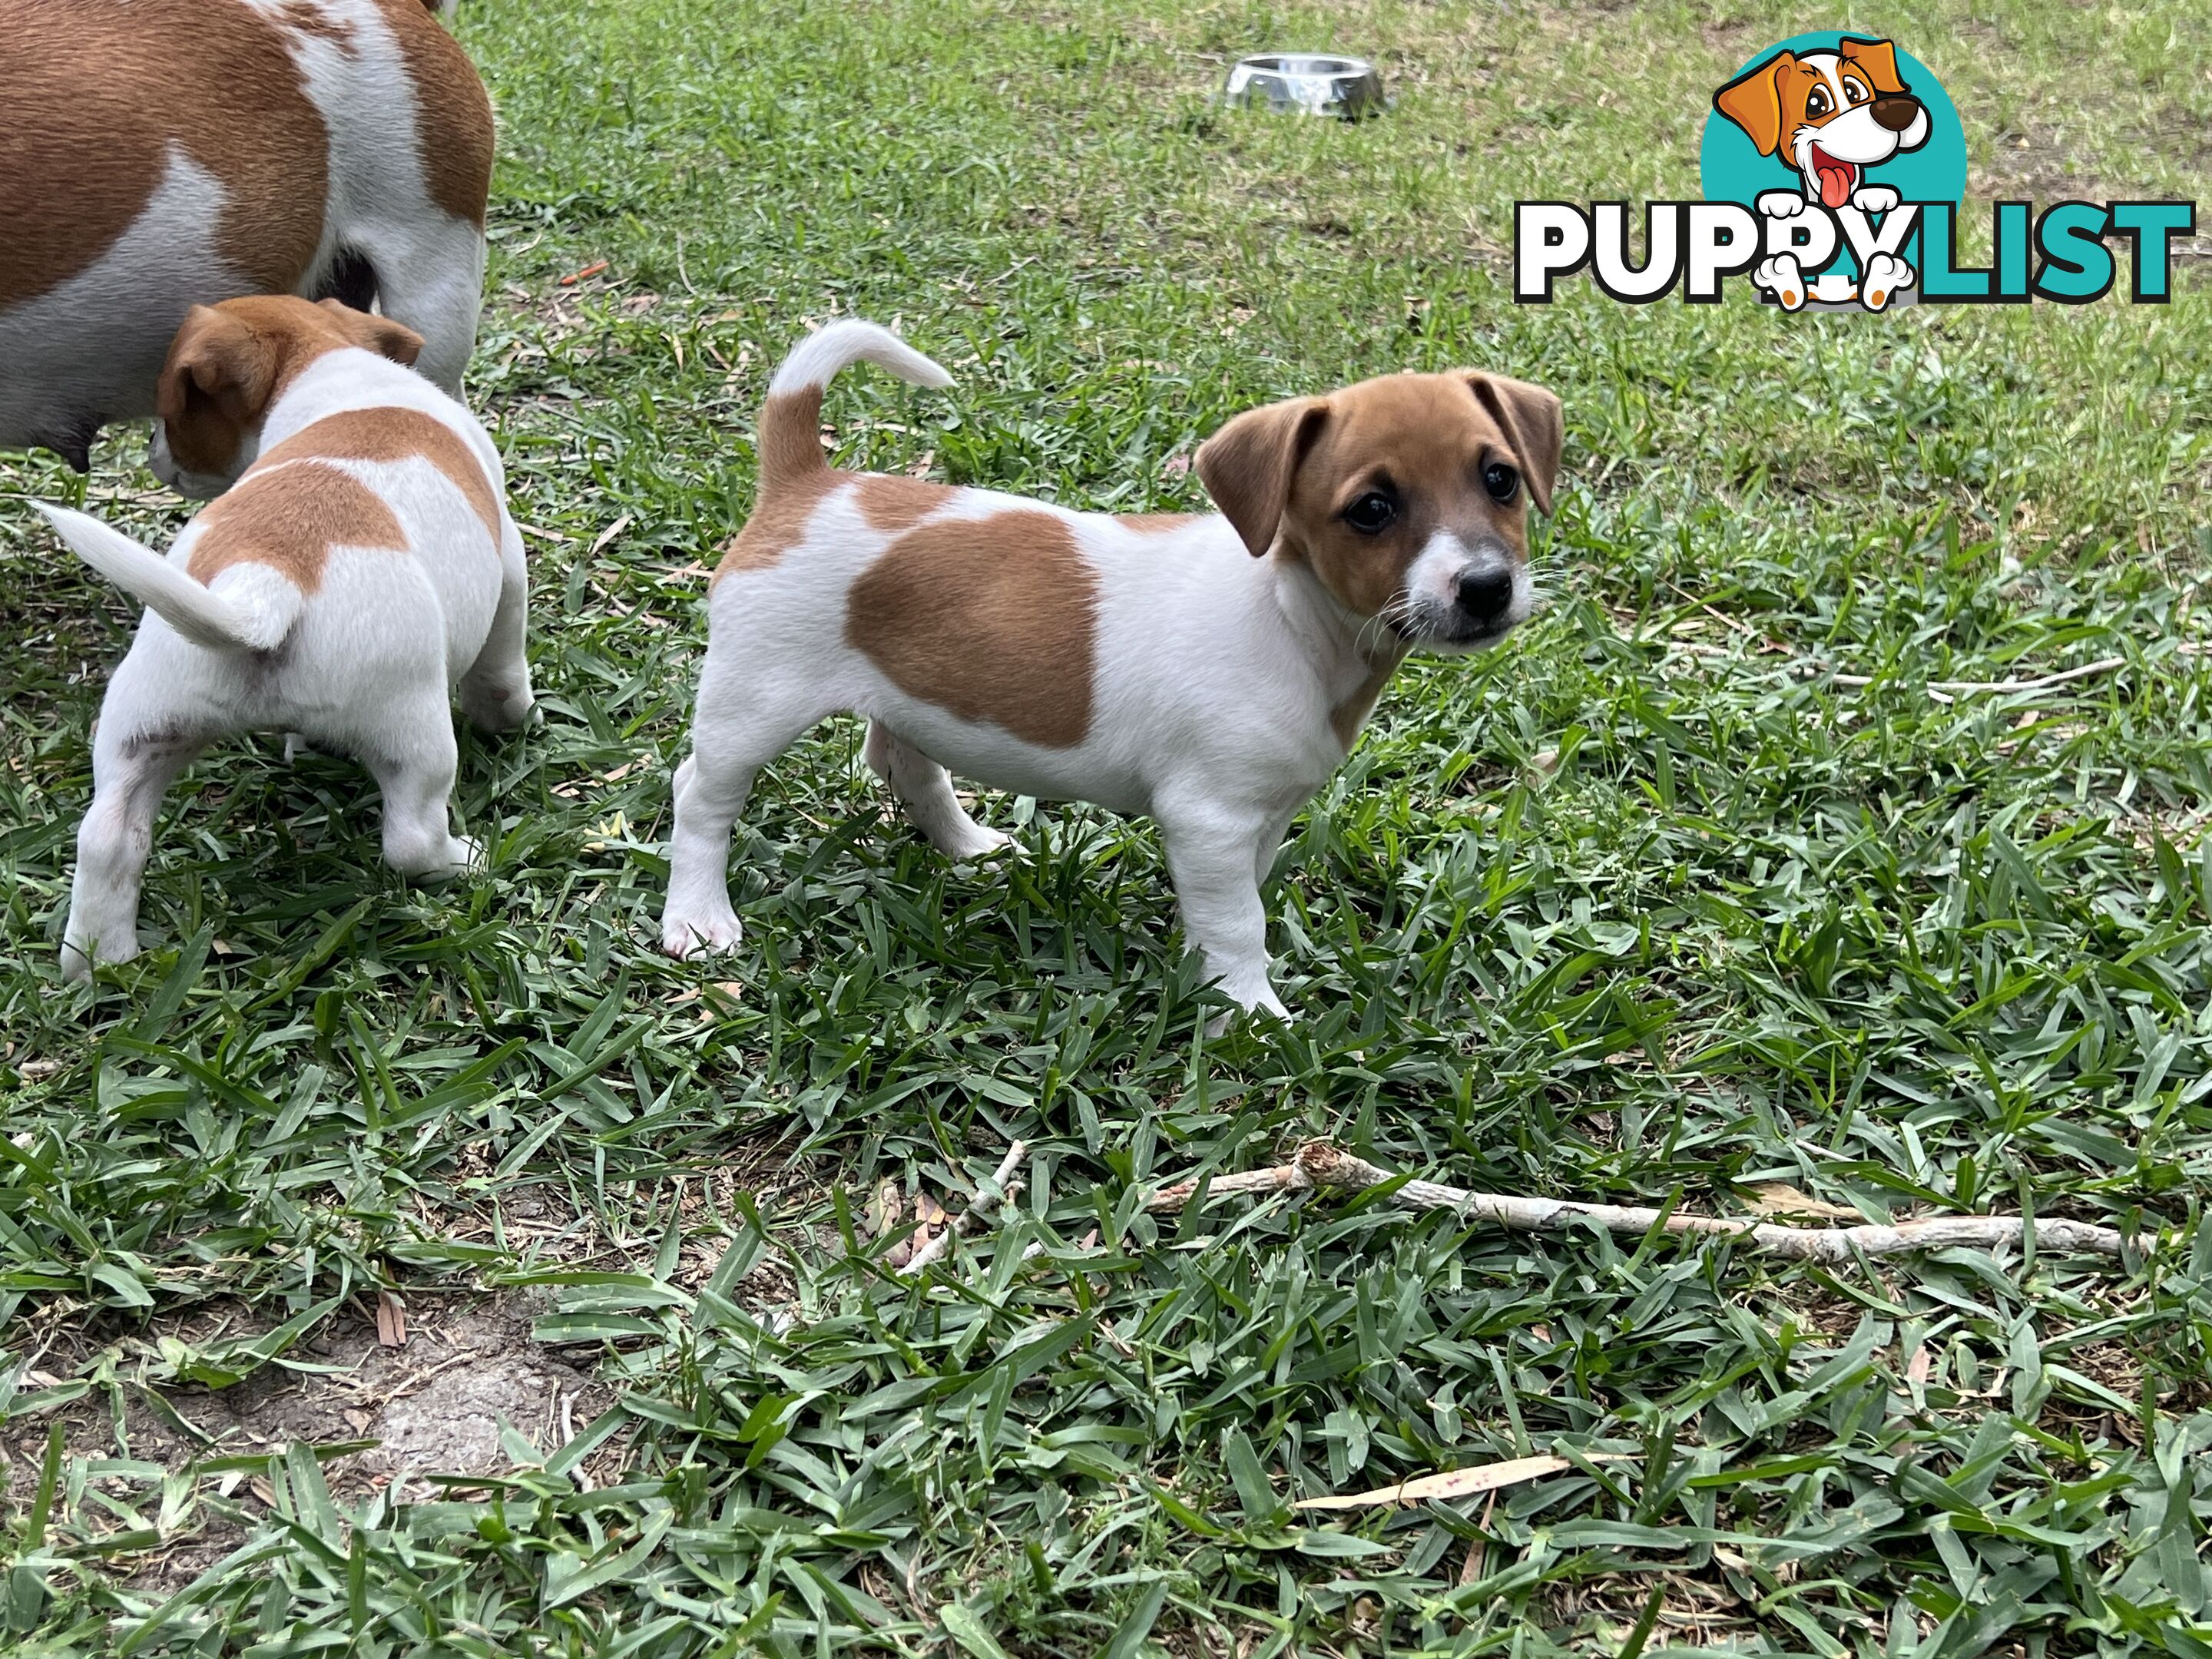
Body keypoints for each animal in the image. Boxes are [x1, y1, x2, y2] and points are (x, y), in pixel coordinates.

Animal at [41, 294, 533, 982]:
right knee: (410, 840)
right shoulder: (509, 565)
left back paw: (100, 967)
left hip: (144, 724)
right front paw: (512, 718)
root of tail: (263, 582)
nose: (154, 454)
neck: (325, 362)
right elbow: (502, 665)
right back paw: (469, 859)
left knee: (108, 841)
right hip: (414, 731)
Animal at [654, 320, 1557, 1022]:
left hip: (912, 692)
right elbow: (1239, 924)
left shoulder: (1256, 820)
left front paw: (1205, 976)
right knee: (700, 795)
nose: (1486, 586)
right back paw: (697, 916)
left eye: (1500, 479)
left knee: (902, 763)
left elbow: (1232, 906)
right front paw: (1250, 1011)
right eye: (1371, 510)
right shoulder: (1209, 819)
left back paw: (968, 845)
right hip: (755, 701)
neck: (1292, 617)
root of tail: (806, 484)